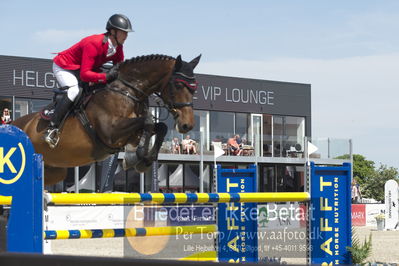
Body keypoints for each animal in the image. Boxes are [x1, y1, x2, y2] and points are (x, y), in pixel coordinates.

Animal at [11, 54, 203, 185]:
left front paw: (142, 159)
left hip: (54, 171)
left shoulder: (130, 134)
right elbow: (148, 122)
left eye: (194, 88)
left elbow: (159, 126)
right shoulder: (111, 132)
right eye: (178, 85)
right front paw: (139, 156)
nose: (187, 125)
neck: (127, 91)